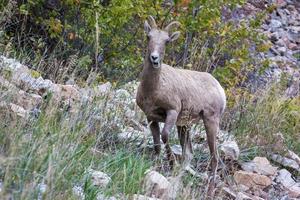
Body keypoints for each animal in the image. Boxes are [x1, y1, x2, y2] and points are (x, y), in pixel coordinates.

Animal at [136, 16, 225, 197]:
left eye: (167, 41)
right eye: (149, 36)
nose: (154, 58)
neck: (153, 88)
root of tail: (220, 89)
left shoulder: (172, 112)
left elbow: (164, 136)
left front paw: (171, 164)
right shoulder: (151, 118)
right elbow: (157, 144)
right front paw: (157, 166)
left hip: (210, 122)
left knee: (214, 157)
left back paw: (209, 191)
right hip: (184, 126)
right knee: (189, 154)